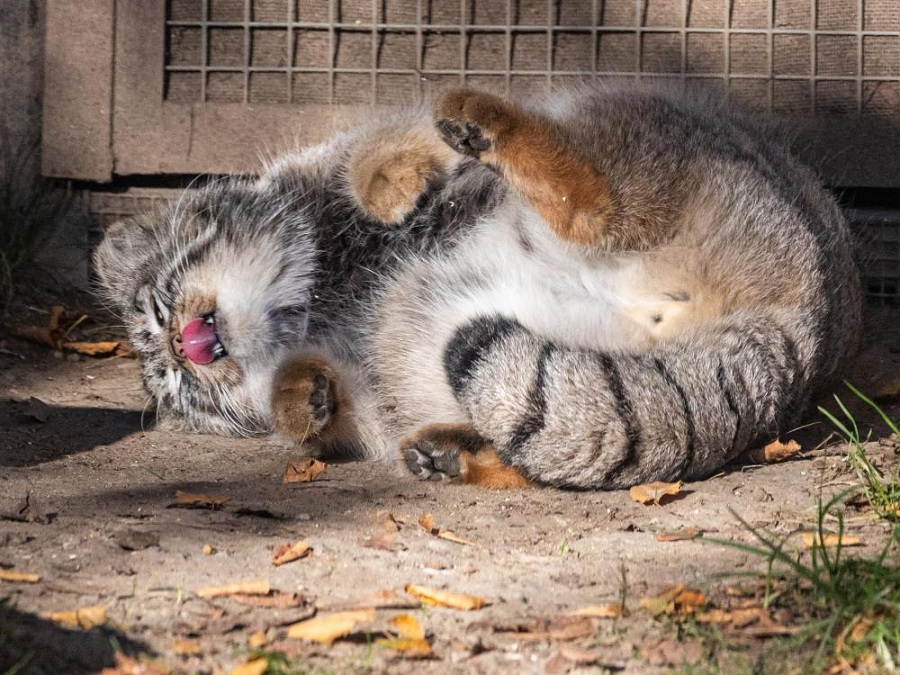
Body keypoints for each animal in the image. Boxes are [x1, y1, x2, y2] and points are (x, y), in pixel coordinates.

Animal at [95, 82, 860, 488]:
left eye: (158, 308)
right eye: (173, 385)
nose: (184, 348)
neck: (315, 296)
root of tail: (806, 327)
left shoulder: (345, 152)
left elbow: (374, 150)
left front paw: (388, 183)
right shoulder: (372, 391)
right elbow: (323, 412)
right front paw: (299, 398)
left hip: (625, 116)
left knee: (594, 196)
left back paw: (483, 118)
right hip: (431, 344)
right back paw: (454, 451)